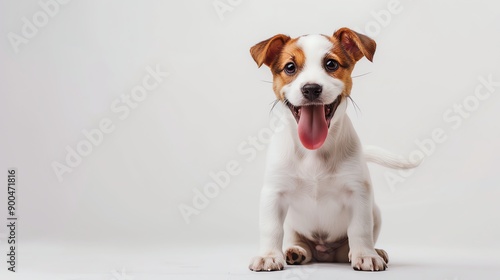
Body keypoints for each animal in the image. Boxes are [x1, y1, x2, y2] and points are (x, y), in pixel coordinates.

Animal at [247, 27, 418, 272]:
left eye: (331, 64)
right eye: (290, 67)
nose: (311, 89)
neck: (313, 152)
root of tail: (324, 253)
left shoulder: (359, 194)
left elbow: (360, 229)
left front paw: (365, 255)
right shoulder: (273, 193)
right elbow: (271, 229)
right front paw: (269, 256)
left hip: (375, 212)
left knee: (352, 243)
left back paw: (370, 251)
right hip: (292, 223)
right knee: (296, 239)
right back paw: (296, 251)